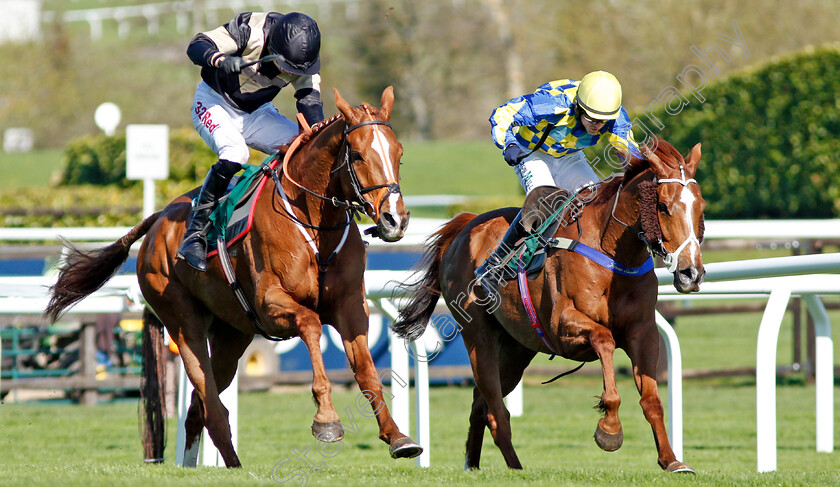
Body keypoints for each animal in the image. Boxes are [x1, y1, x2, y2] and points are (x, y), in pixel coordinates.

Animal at [43, 87, 424, 468]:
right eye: (357, 154)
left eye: (399, 153)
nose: (395, 219)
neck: (315, 224)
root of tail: (158, 220)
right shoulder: (271, 304)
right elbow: (311, 324)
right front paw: (326, 419)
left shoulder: (351, 306)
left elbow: (367, 372)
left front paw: (397, 437)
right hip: (183, 323)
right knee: (212, 406)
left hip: (231, 335)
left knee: (198, 410)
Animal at [392, 139, 704, 474]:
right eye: (663, 206)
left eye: (701, 207)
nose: (691, 273)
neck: (612, 253)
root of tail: (465, 227)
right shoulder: (562, 324)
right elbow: (604, 339)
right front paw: (609, 429)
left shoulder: (643, 332)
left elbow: (651, 400)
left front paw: (671, 460)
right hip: (479, 337)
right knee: (496, 411)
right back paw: (515, 468)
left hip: (516, 350)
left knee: (480, 403)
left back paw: (474, 466)